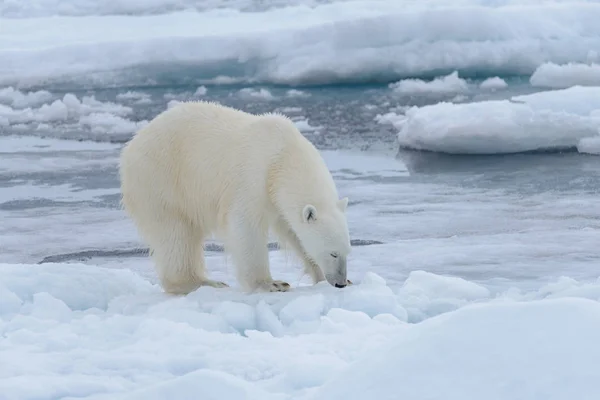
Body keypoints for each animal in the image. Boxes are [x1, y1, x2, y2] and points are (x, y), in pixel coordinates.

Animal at [119, 100, 352, 294]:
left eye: (347, 252)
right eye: (333, 253)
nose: (340, 282)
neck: (283, 156)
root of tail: (132, 145)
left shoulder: (276, 201)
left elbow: (294, 232)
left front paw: (321, 276)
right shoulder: (252, 178)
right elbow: (246, 227)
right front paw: (271, 283)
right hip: (162, 180)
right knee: (175, 234)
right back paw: (202, 282)